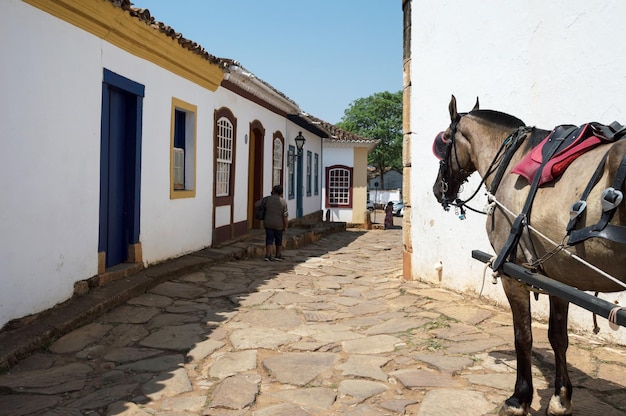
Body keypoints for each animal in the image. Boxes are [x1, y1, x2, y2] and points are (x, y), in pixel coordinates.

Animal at [428, 96, 624, 414]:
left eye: (444, 140)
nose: (437, 190)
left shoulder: (513, 274)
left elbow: (523, 336)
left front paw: (519, 397)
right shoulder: (558, 275)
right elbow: (558, 337)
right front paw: (561, 397)